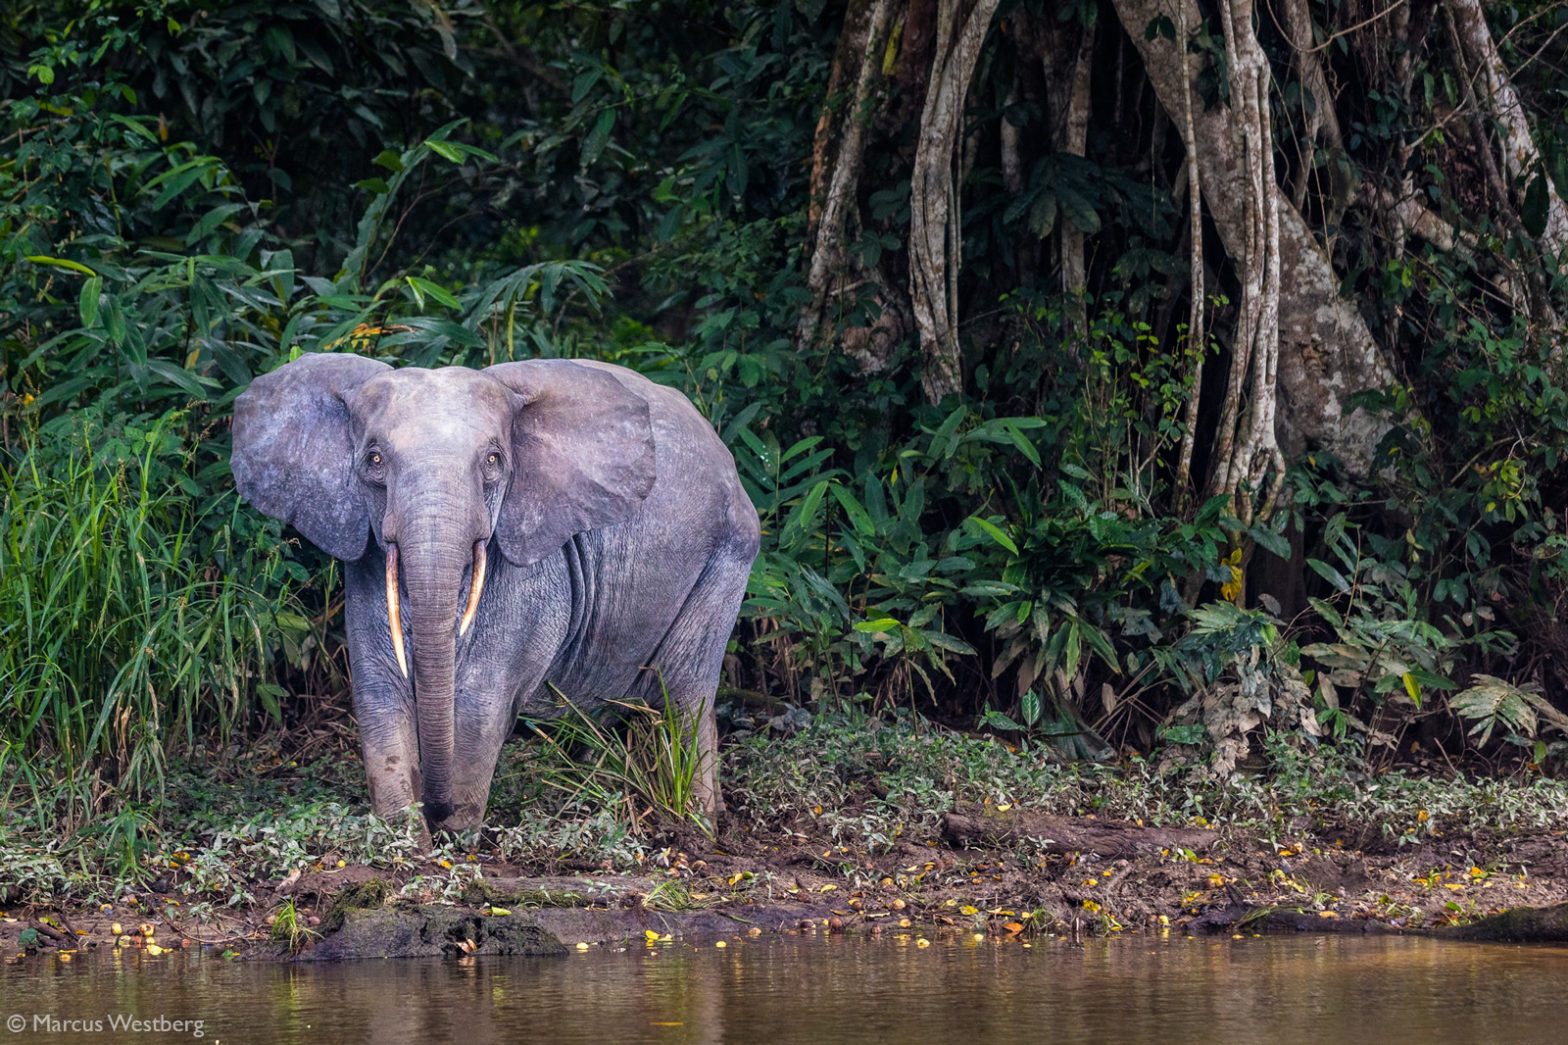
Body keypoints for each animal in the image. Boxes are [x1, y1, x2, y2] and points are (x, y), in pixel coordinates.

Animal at [230, 354, 758, 834]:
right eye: (374, 460)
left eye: (493, 462)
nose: (436, 809)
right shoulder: (366, 560)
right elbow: (379, 690)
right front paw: (406, 839)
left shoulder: (532, 560)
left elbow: (480, 695)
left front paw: (456, 835)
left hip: (730, 553)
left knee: (684, 693)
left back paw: (697, 826)